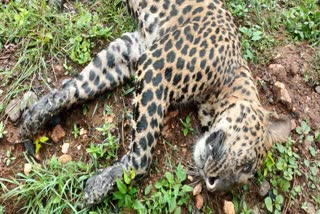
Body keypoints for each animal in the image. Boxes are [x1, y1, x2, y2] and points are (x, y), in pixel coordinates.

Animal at [20, 0, 292, 206]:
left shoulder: (129, 52)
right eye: (246, 165)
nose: (214, 184)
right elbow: (143, 151)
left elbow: (81, 85)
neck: (231, 78)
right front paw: (99, 187)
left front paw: (36, 115)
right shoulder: (155, 67)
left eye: (238, 180)